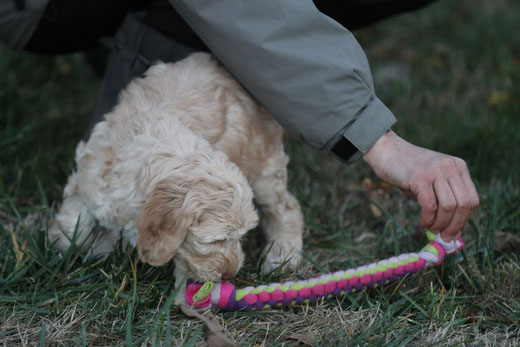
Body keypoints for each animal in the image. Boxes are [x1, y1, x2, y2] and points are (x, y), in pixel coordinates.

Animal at [48, 53, 304, 288]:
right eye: (215, 241)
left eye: (241, 236)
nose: (229, 275)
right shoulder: (86, 178)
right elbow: (74, 222)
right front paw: (63, 248)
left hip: (264, 167)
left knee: (287, 208)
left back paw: (281, 257)